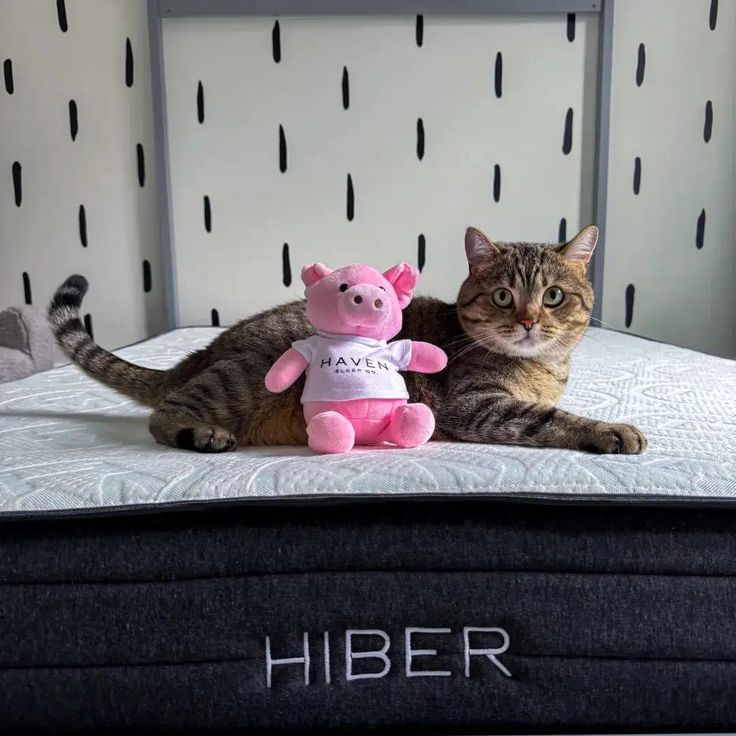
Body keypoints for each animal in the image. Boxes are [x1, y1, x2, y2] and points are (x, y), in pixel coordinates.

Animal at [47, 224, 644, 454]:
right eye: (503, 296)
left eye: (553, 297)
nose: (527, 321)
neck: (542, 367)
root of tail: (206, 351)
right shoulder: (476, 405)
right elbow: (550, 419)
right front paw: (610, 430)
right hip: (246, 378)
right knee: (164, 411)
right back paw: (201, 433)